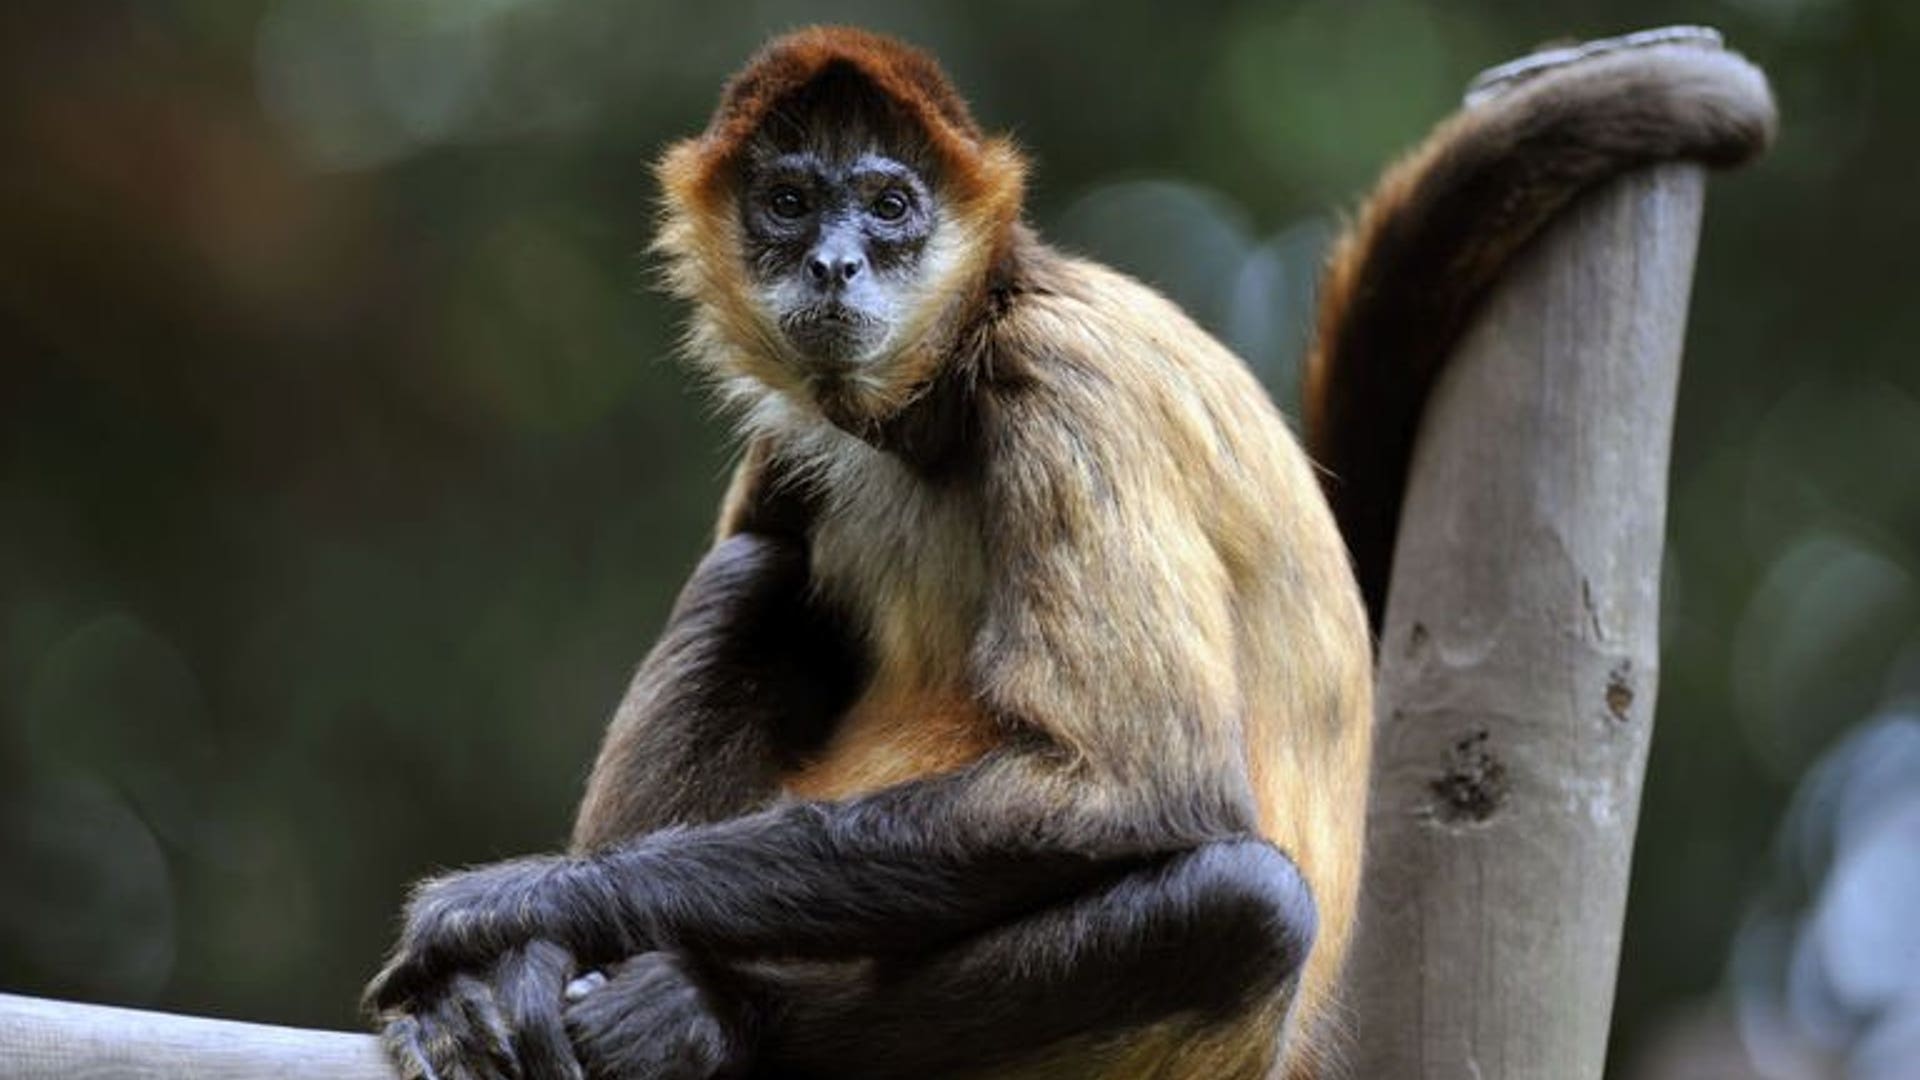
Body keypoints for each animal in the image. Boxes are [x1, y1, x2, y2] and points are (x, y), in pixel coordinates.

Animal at [362, 26, 1774, 1080]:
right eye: (787, 201)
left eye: (890, 205)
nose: (834, 263)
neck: (946, 393)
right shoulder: (797, 432)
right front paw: (501, 964)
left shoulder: (1071, 388)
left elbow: (1140, 790)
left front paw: (508, 912)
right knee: (757, 573)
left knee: (1238, 905)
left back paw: (710, 1019)